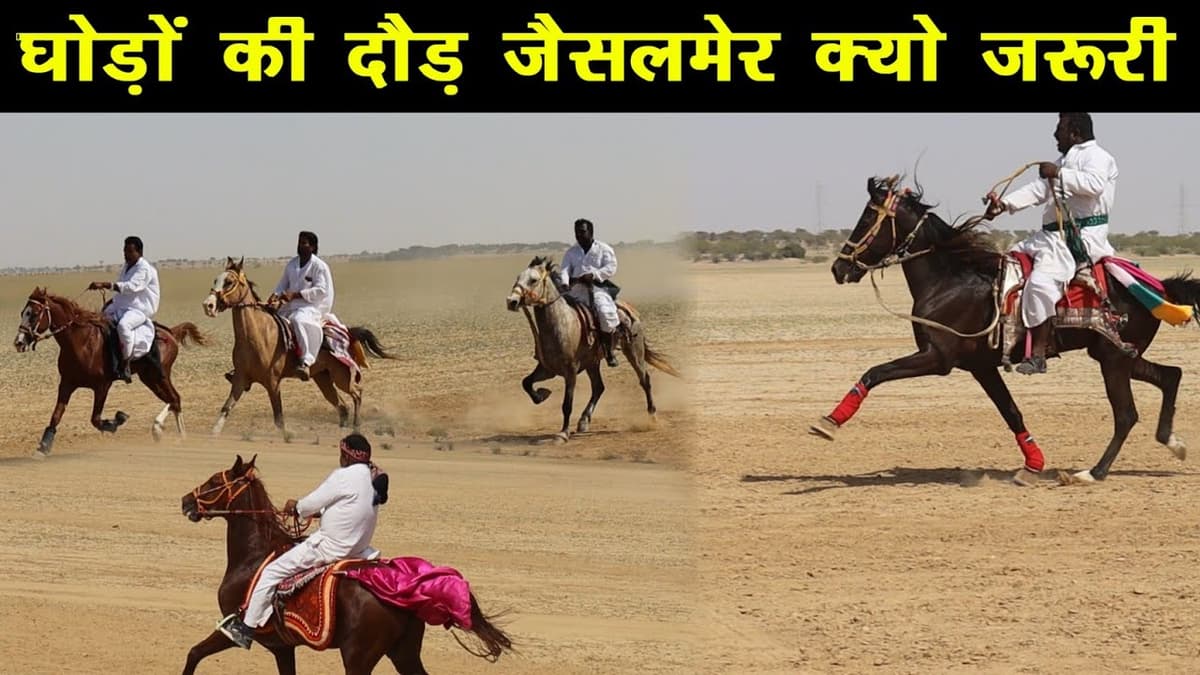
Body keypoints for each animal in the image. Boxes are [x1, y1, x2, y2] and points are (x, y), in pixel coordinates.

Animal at [12, 286, 210, 458]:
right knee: (172, 400)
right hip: (149, 377)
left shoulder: (102, 386)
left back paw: (170, 433)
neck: (81, 342)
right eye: (22, 313)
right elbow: (56, 416)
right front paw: (42, 448)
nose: (19, 342)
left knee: (175, 399)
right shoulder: (67, 383)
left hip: (159, 376)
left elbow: (96, 419)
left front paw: (118, 420)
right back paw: (165, 432)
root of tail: (170, 333)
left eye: (34, 314)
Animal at [179, 454, 515, 675]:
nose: (185, 501)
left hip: (358, 657)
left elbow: (194, 653)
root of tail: (404, 590)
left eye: (214, 481)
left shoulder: (234, 629)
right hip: (403, 653)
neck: (253, 556)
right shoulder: (283, 647)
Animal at [201, 257, 397, 442]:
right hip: (323, 378)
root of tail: (348, 332)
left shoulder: (272, 382)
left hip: (341, 376)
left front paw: (287, 436)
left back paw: (356, 428)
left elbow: (279, 417)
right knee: (342, 407)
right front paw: (214, 434)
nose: (208, 305)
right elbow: (226, 407)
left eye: (229, 282)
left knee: (357, 393)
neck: (256, 336)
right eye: (215, 280)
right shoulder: (240, 379)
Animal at [505, 256, 682, 442]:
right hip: (592, 363)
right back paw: (584, 420)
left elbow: (567, 404)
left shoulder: (570, 371)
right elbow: (526, 382)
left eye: (533, 280)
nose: (512, 301)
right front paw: (541, 395)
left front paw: (563, 433)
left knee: (644, 380)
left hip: (634, 351)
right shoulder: (547, 369)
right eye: (518, 277)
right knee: (599, 387)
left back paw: (652, 416)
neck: (562, 325)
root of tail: (630, 309)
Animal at [810, 175, 1200, 484]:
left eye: (866, 217)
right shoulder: (981, 366)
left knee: (1126, 414)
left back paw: (1092, 472)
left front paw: (828, 423)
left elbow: (875, 372)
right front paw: (1032, 465)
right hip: (1118, 355)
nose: (839, 268)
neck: (952, 279)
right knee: (1171, 375)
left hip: (1113, 360)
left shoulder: (937, 358)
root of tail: (1160, 288)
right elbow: (1011, 411)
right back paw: (1173, 443)